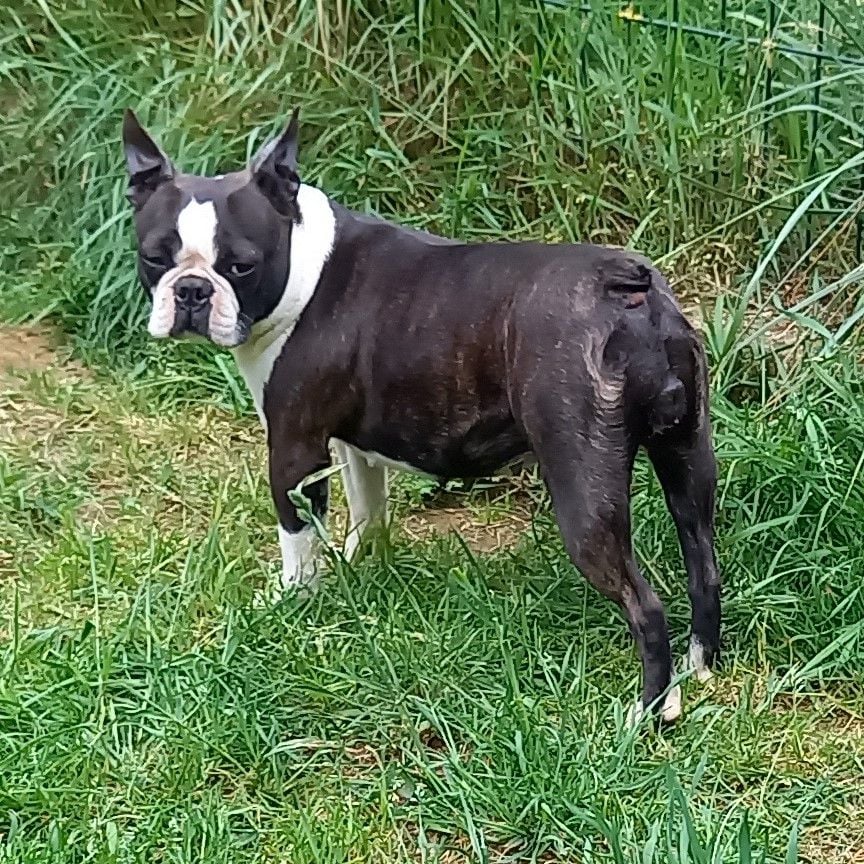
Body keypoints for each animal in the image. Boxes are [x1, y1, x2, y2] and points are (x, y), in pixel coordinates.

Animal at [122, 109, 720, 724]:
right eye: (154, 258)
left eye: (241, 266)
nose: (192, 290)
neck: (303, 263)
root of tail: (625, 288)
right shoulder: (353, 448)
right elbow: (368, 511)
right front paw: (358, 568)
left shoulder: (294, 447)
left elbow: (297, 537)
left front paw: (292, 598)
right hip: (688, 459)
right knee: (703, 563)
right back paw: (698, 669)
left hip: (584, 488)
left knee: (645, 605)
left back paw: (646, 713)